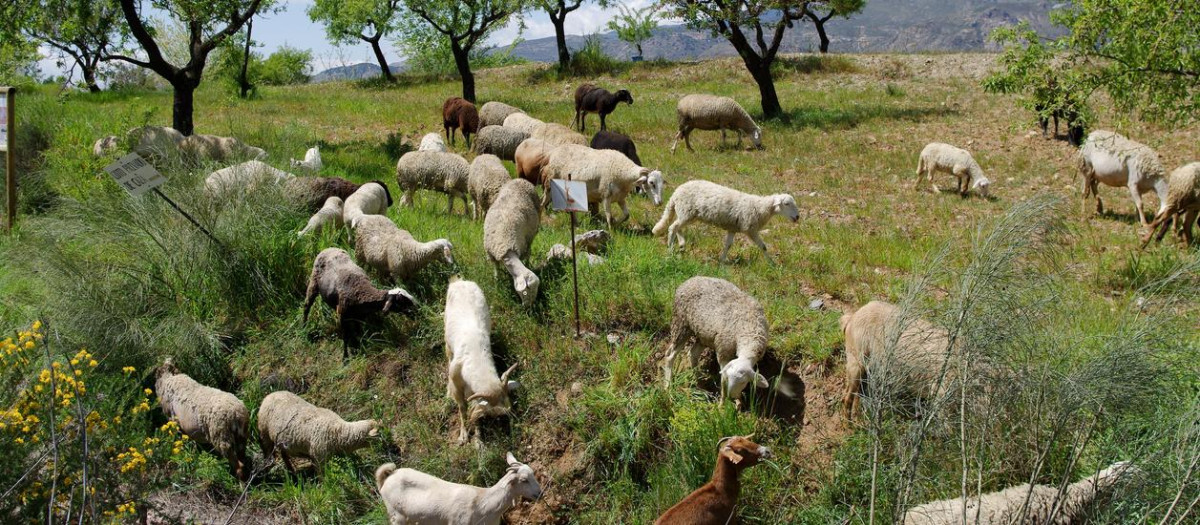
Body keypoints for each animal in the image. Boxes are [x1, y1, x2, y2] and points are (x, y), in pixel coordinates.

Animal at [375, 452, 542, 525]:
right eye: (524, 480)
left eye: (533, 473)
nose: (540, 493)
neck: (483, 503)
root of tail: (388, 476)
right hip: (395, 515)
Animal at [444, 278, 520, 445]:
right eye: (494, 414)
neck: (475, 354)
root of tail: (459, 281)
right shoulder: (457, 383)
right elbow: (462, 407)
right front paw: (463, 435)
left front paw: (478, 439)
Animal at [652, 180, 798, 263]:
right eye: (786, 204)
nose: (797, 217)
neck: (760, 206)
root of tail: (676, 193)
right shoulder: (750, 228)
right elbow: (763, 246)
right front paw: (772, 263)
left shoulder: (733, 228)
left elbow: (728, 245)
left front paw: (722, 260)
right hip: (686, 212)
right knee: (672, 227)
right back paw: (670, 250)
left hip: (687, 214)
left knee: (677, 227)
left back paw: (682, 244)